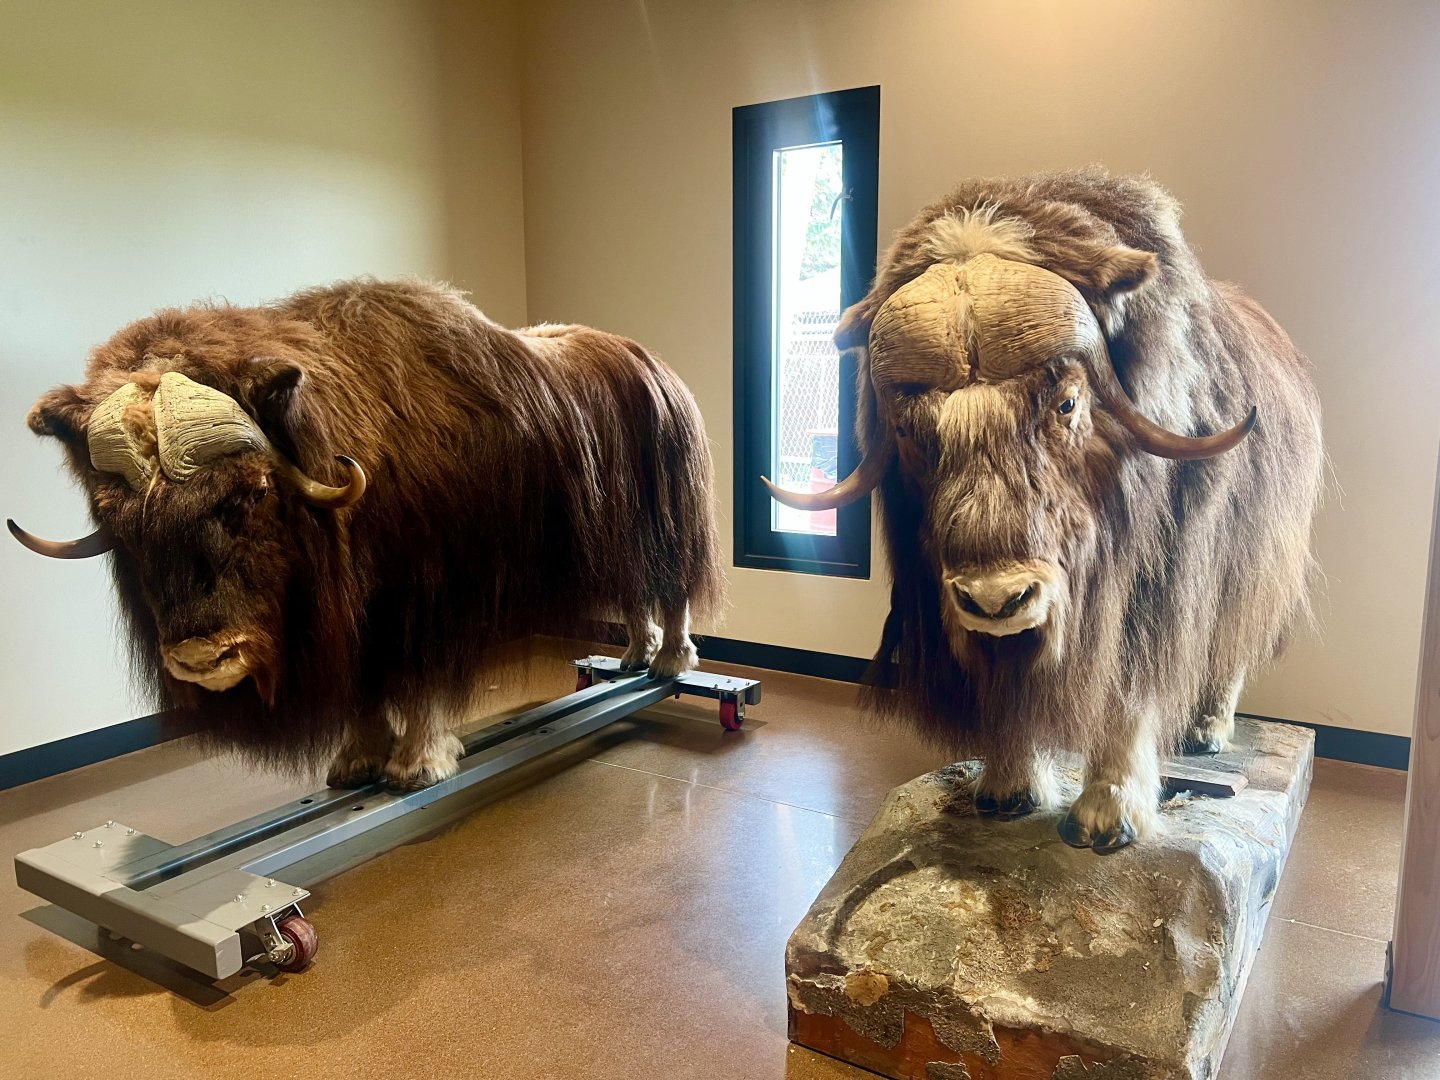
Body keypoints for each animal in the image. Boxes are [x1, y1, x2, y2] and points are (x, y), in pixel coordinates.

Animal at [12, 279, 725, 790]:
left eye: (252, 492)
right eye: (116, 518)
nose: (202, 658)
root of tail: (651, 362)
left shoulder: (427, 599)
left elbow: (419, 682)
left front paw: (416, 765)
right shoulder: (359, 621)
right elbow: (362, 692)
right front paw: (355, 760)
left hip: (668, 524)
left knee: (672, 589)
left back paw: (668, 660)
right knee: (635, 594)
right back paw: (631, 655)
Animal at [766, 170, 1322, 853]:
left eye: (1066, 402)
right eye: (907, 428)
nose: (995, 601)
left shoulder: (1149, 588)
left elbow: (1126, 694)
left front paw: (1107, 818)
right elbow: (1008, 695)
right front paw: (1006, 790)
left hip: (1250, 571)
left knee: (1229, 649)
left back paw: (1205, 733)